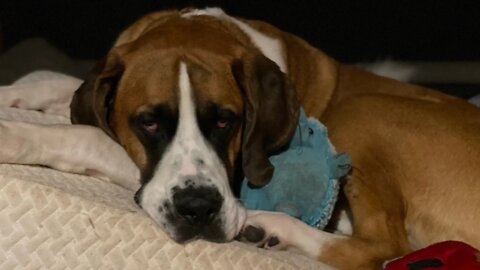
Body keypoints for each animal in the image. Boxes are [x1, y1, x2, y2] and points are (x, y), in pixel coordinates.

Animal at [0, 7, 480, 268]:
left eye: (225, 121)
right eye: (149, 123)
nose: (198, 210)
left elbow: (86, 136)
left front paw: (15, 135)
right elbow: (57, 83)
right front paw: (14, 94)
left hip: (364, 110)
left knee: (380, 247)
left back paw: (271, 225)